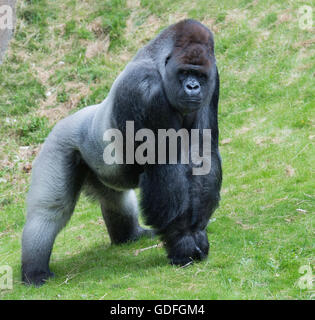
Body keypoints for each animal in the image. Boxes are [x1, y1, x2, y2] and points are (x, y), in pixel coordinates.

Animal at [21, 18, 222, 286]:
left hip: (99, 169)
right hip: (58, 144)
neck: (159, 62)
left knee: (116, 199)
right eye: (183, 73)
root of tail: (65, 120)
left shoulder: (214, 80)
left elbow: (203, 152)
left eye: (199, 74)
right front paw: (183, 242)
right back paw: (34, 272)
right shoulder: (145, 89)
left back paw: (130, 235)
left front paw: (196, 232)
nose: (192, 87)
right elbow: (165, 164)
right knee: (50, 211)